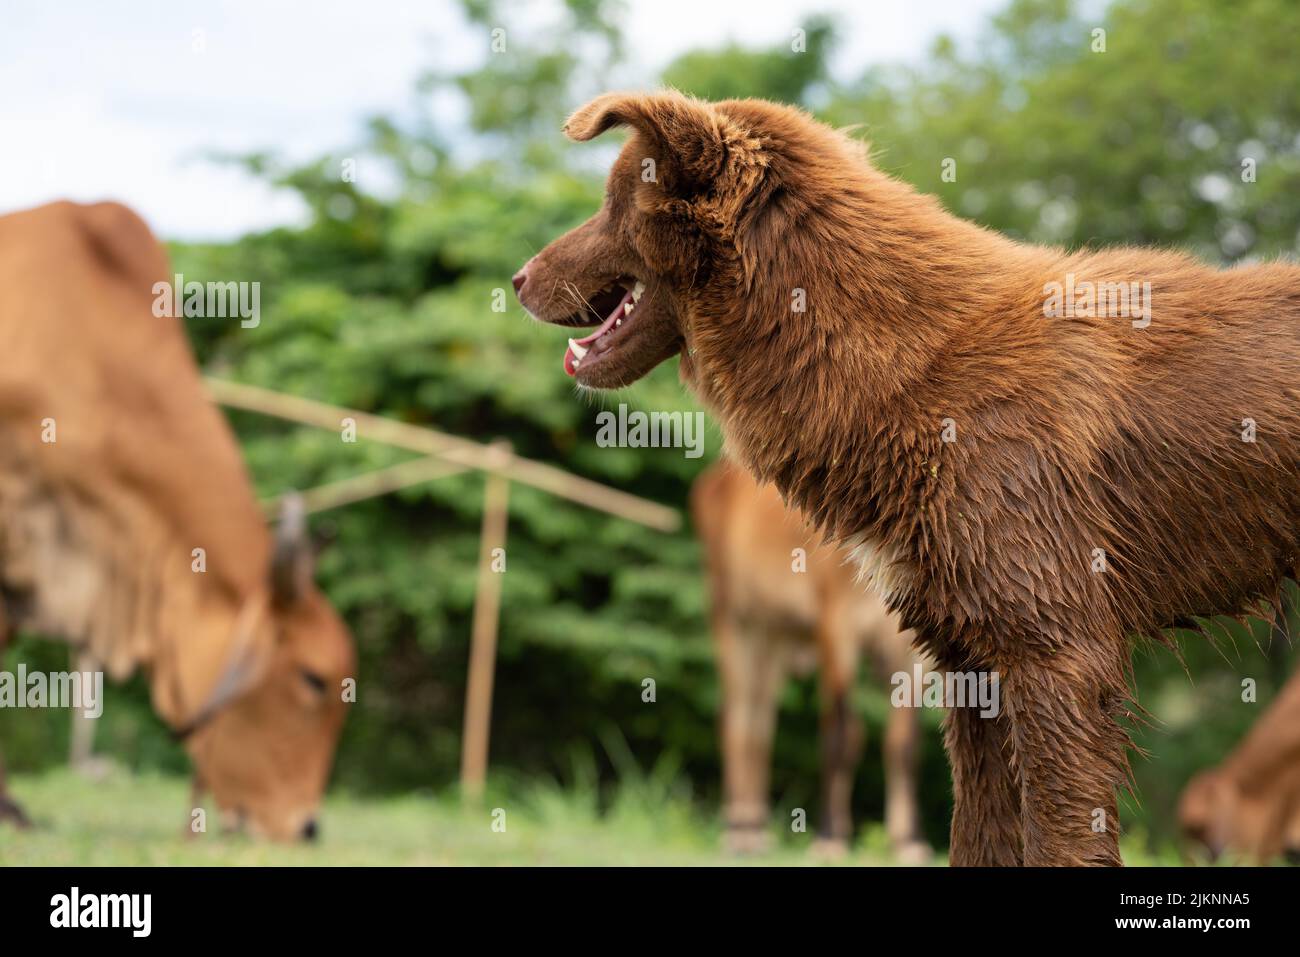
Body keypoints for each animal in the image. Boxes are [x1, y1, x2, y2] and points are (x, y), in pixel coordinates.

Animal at [691, 460, 931, 862]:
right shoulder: (836, 625)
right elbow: (841, 734)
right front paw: (830, 837)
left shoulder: (909, 649)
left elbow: (904, 743)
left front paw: (909, 842)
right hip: (730, 617)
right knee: (736, 718)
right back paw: (737, 832)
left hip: (773, 635)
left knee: (760, 724)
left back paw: (756, 831)